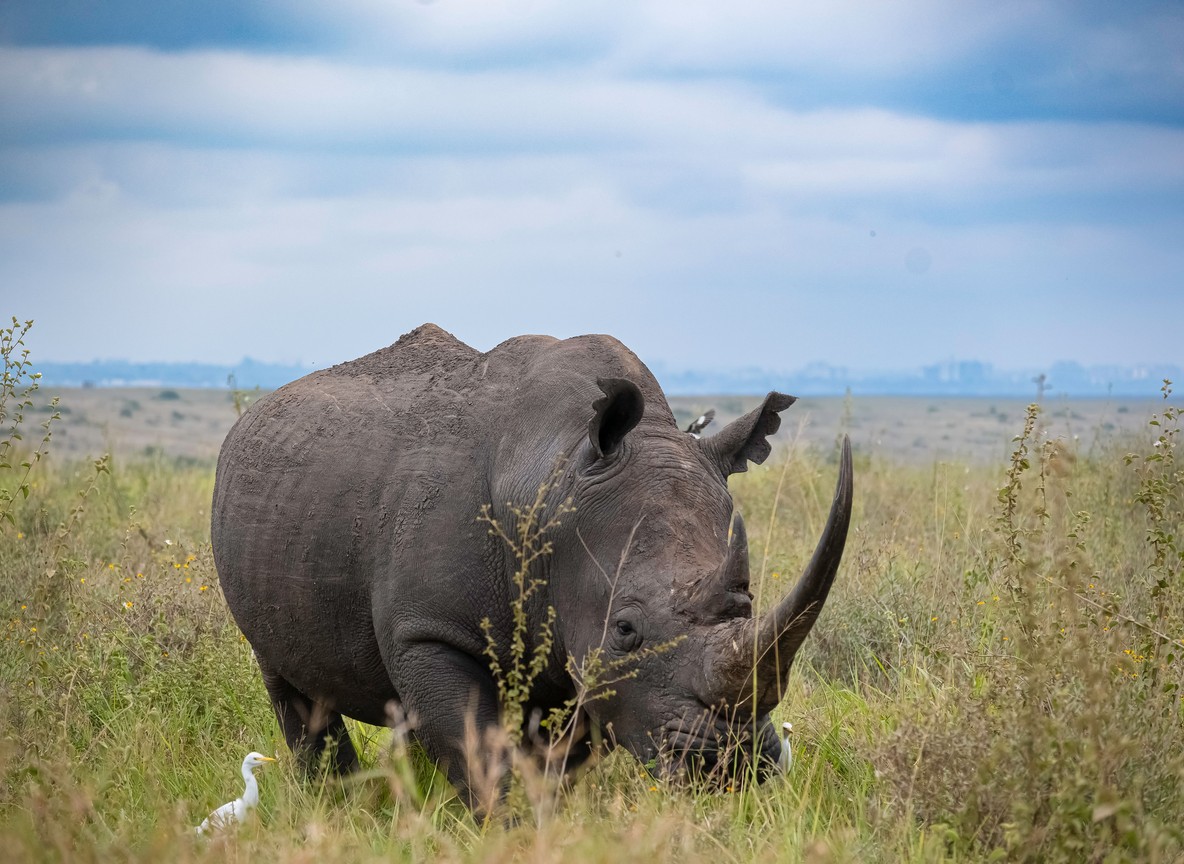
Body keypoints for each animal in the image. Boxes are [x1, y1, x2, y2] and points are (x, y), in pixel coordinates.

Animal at [211, 324, 852, 808]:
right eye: (626, 629)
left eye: (748, 603)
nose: (733, 766)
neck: (556, 473)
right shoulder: (430, 631)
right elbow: (475, 750)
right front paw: (508, 828)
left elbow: (559, 755)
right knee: (288, 680)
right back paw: (336, 803)